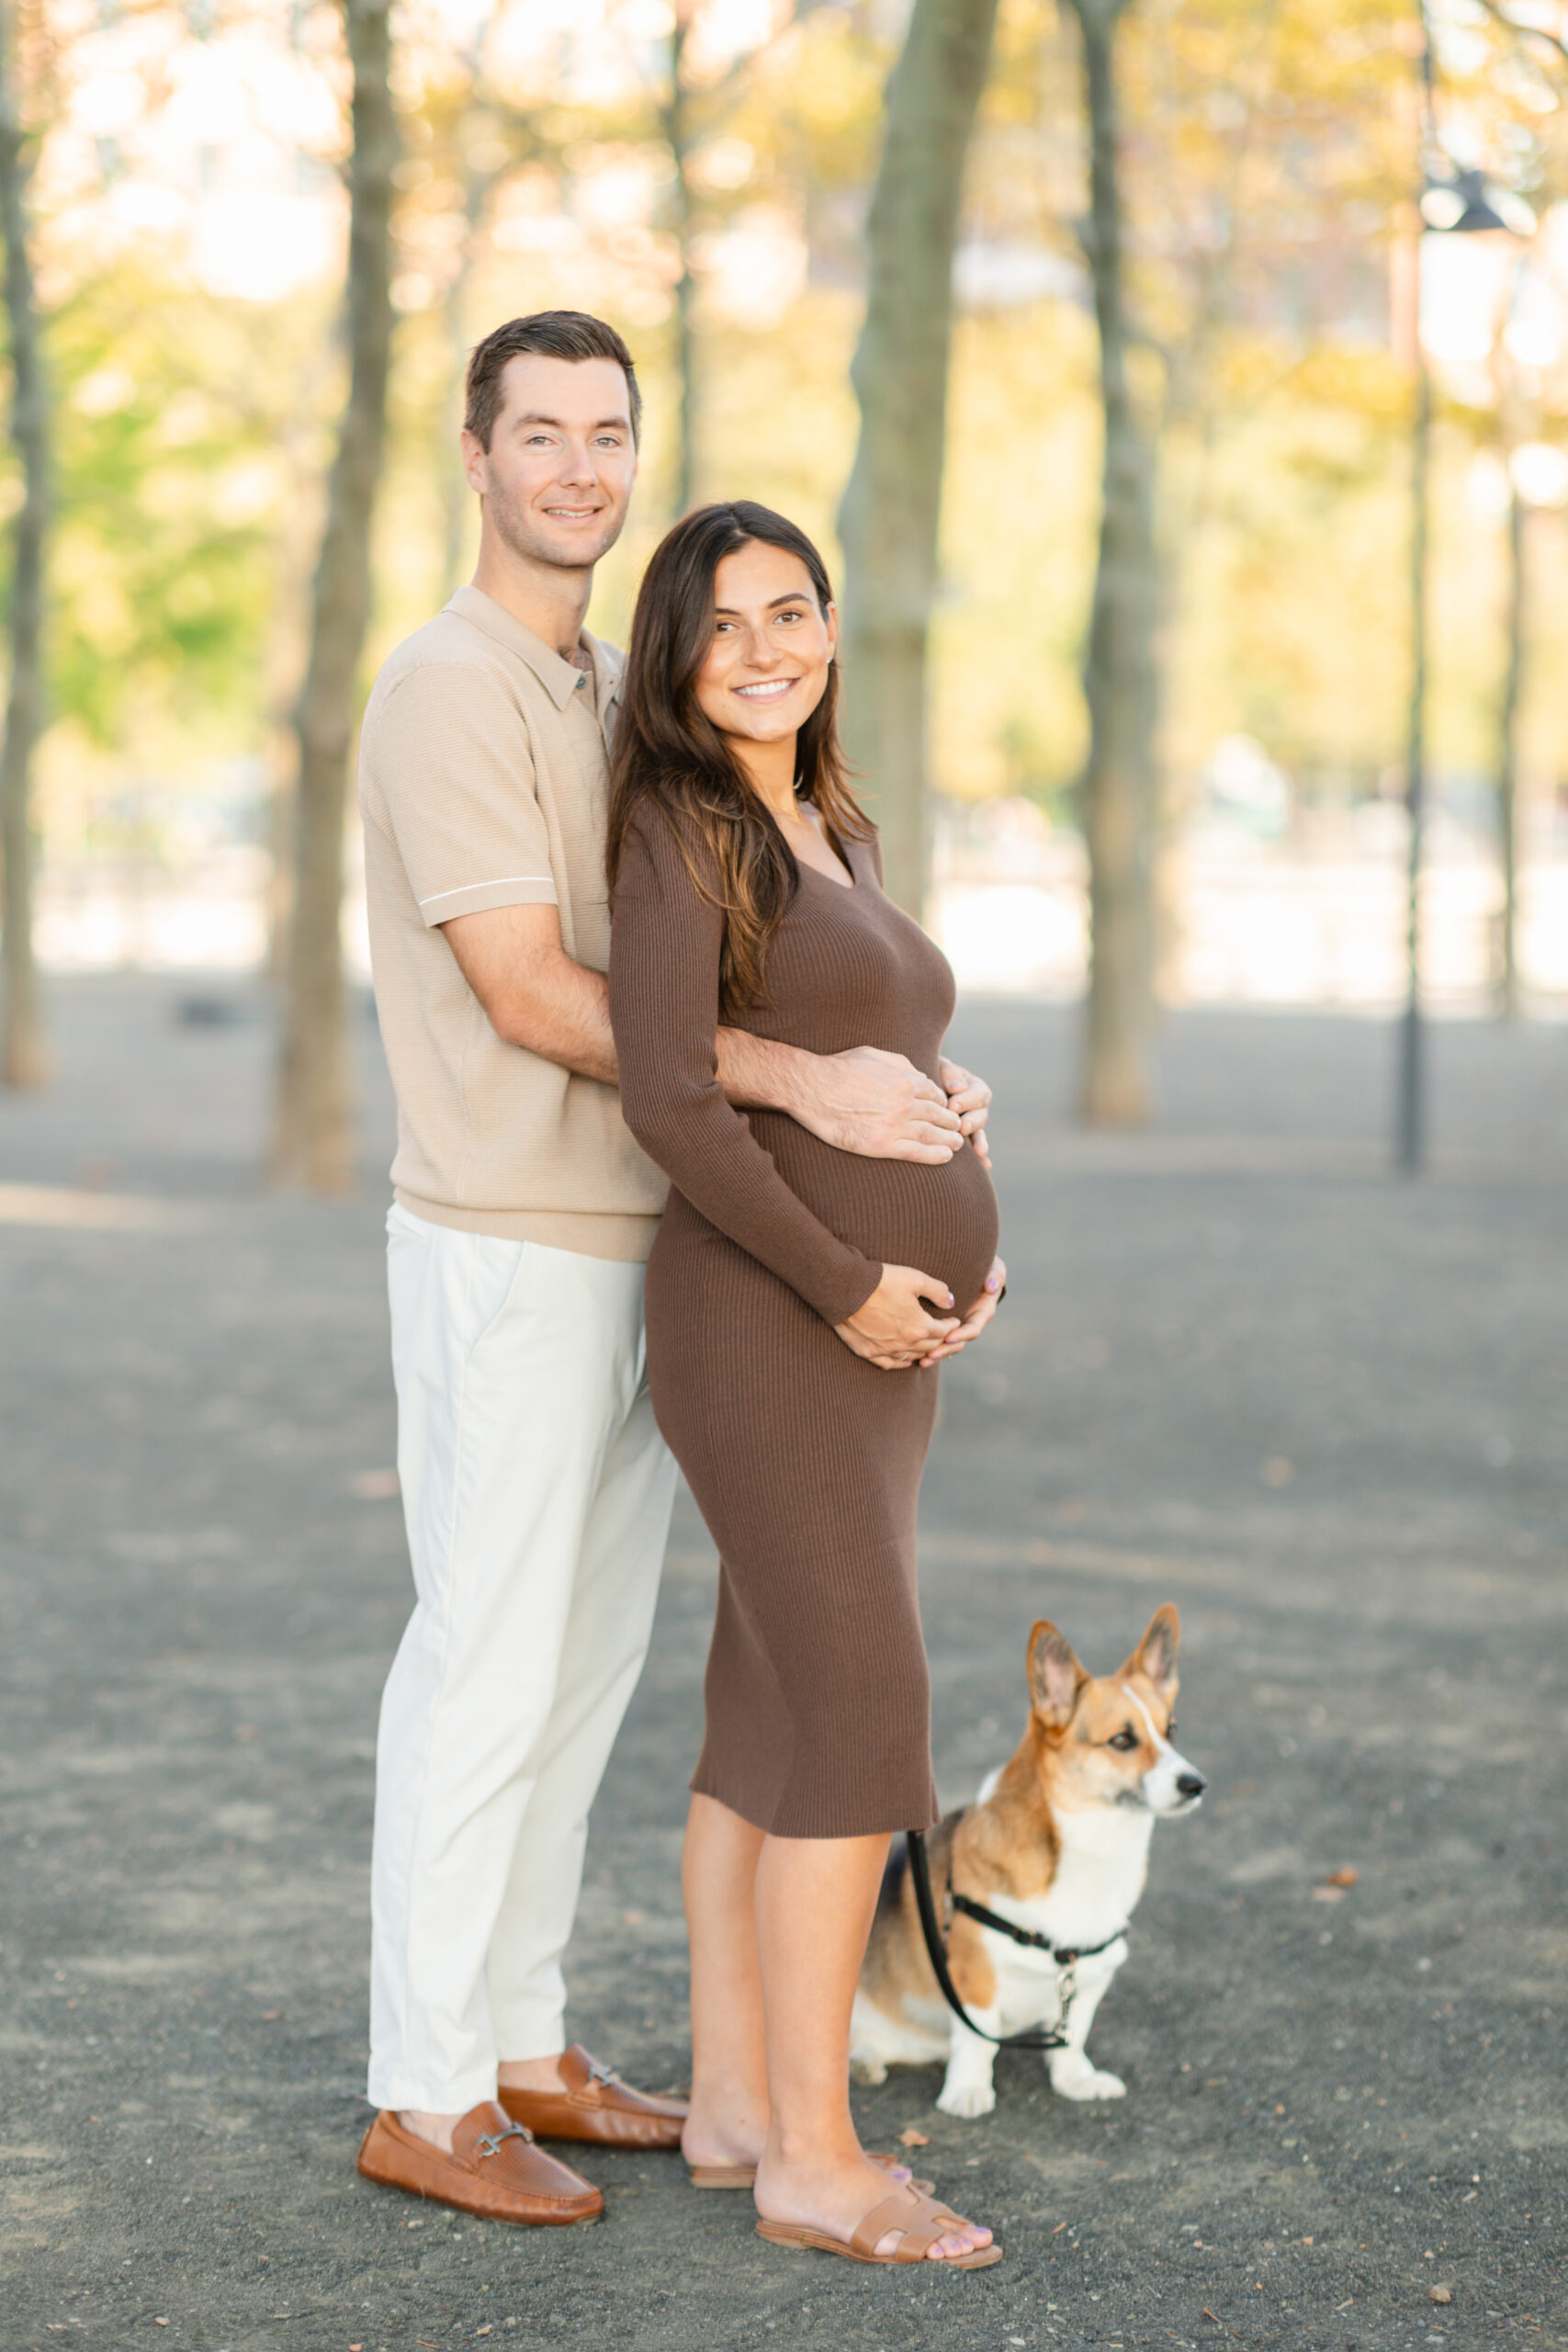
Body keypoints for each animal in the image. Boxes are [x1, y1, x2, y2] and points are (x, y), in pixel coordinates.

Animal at [851, 1609, 1213, 2126]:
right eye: (1122, 1740)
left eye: (1172, 1731)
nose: (1196, 1784)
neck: (1092, 1847)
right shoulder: (974, 1976)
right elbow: (977, 2041)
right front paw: (967, 2091)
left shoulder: (1090, 1974)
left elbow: (1073, 2037)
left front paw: (1076, 2081)